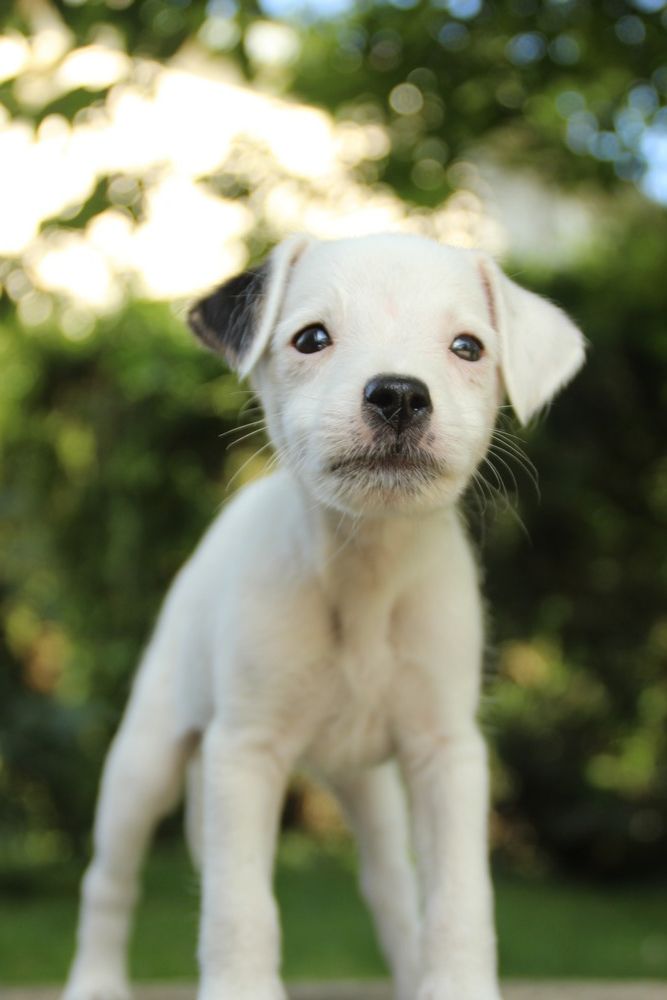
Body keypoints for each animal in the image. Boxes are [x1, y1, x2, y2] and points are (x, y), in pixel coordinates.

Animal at [62, 232, 584, 1000]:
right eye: (311, 338)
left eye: (467, 347)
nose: (398, 393)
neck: (363, 576)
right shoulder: (243, 753)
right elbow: (240, 906)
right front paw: (241, 988)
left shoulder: (445, 754)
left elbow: (458, 900)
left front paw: (452, 981)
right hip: (144, 763)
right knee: (110, 879)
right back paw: (95, 980)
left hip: (372, 789)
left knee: (392, 888)